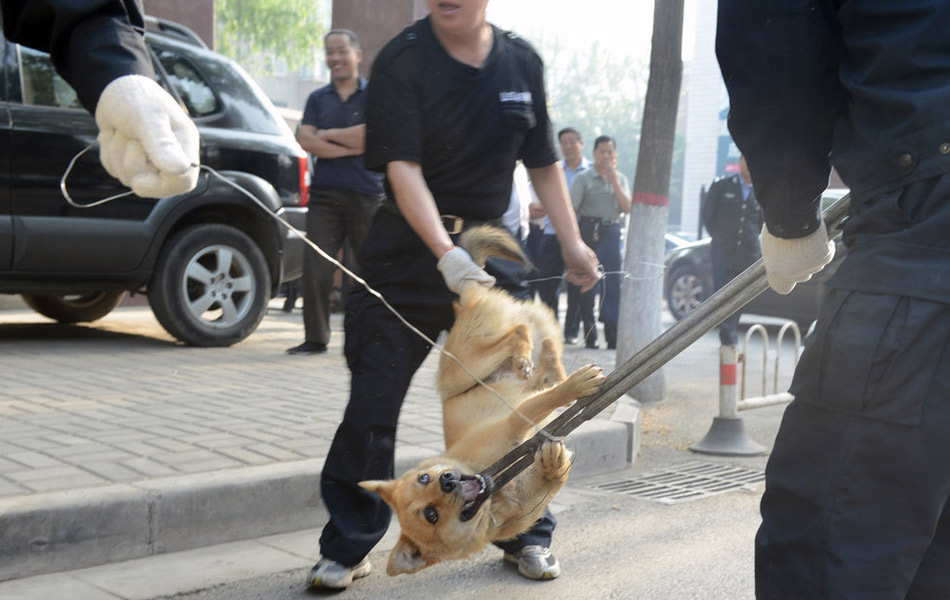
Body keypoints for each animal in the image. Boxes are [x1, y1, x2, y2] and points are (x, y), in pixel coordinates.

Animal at [360, 226, 608, 576]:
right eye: (431, 515)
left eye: (425, 477)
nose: (447, 480)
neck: (494, 488)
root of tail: (467, 300)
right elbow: (552, 475)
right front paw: (551, 464)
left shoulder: (513, 422)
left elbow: (544, 402)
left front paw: (574, 388)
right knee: (536, 350)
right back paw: (548, 361)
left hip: (464, 369)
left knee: (520, 334)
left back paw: (540, 363)